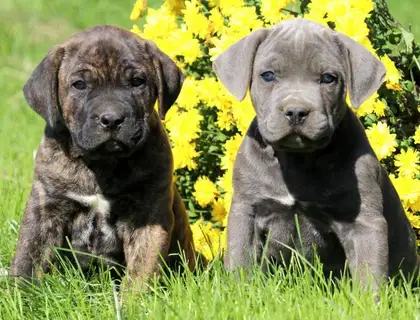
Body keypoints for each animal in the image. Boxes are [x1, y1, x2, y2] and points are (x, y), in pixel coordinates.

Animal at [10, 25, 197, 282]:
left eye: (137, 82)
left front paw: (135, 295)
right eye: (79, 84)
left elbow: (141, 270)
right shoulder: (45, 208)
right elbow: (28, 258)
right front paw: (21, 290)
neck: (102, 163)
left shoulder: (147, 216)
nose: (112, 119)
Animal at [213, 17, 420, 288]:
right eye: (267, 75)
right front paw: (241, 291)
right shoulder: (246, 210)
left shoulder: (364, 222)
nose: (296, 111)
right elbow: (241, 261)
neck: (297, 159)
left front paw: (368, 299)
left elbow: (369, 272)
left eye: (328, 78)